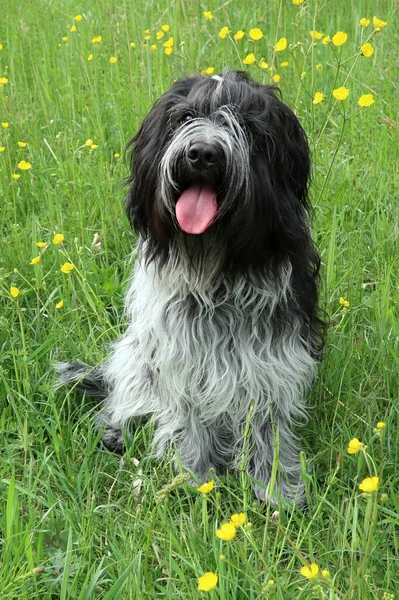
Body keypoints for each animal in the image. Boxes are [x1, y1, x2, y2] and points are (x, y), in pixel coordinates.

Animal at [57, 72, 324, 508]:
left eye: (246, 125)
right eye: (184, 118)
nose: (202, 154)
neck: (216, 277)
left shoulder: (271, 355)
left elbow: (268, 422)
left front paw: (277, 488)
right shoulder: (176, 351)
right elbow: (187, 416)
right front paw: (198, 478)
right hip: (136, 352)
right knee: (128, 392)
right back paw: (116, 427)